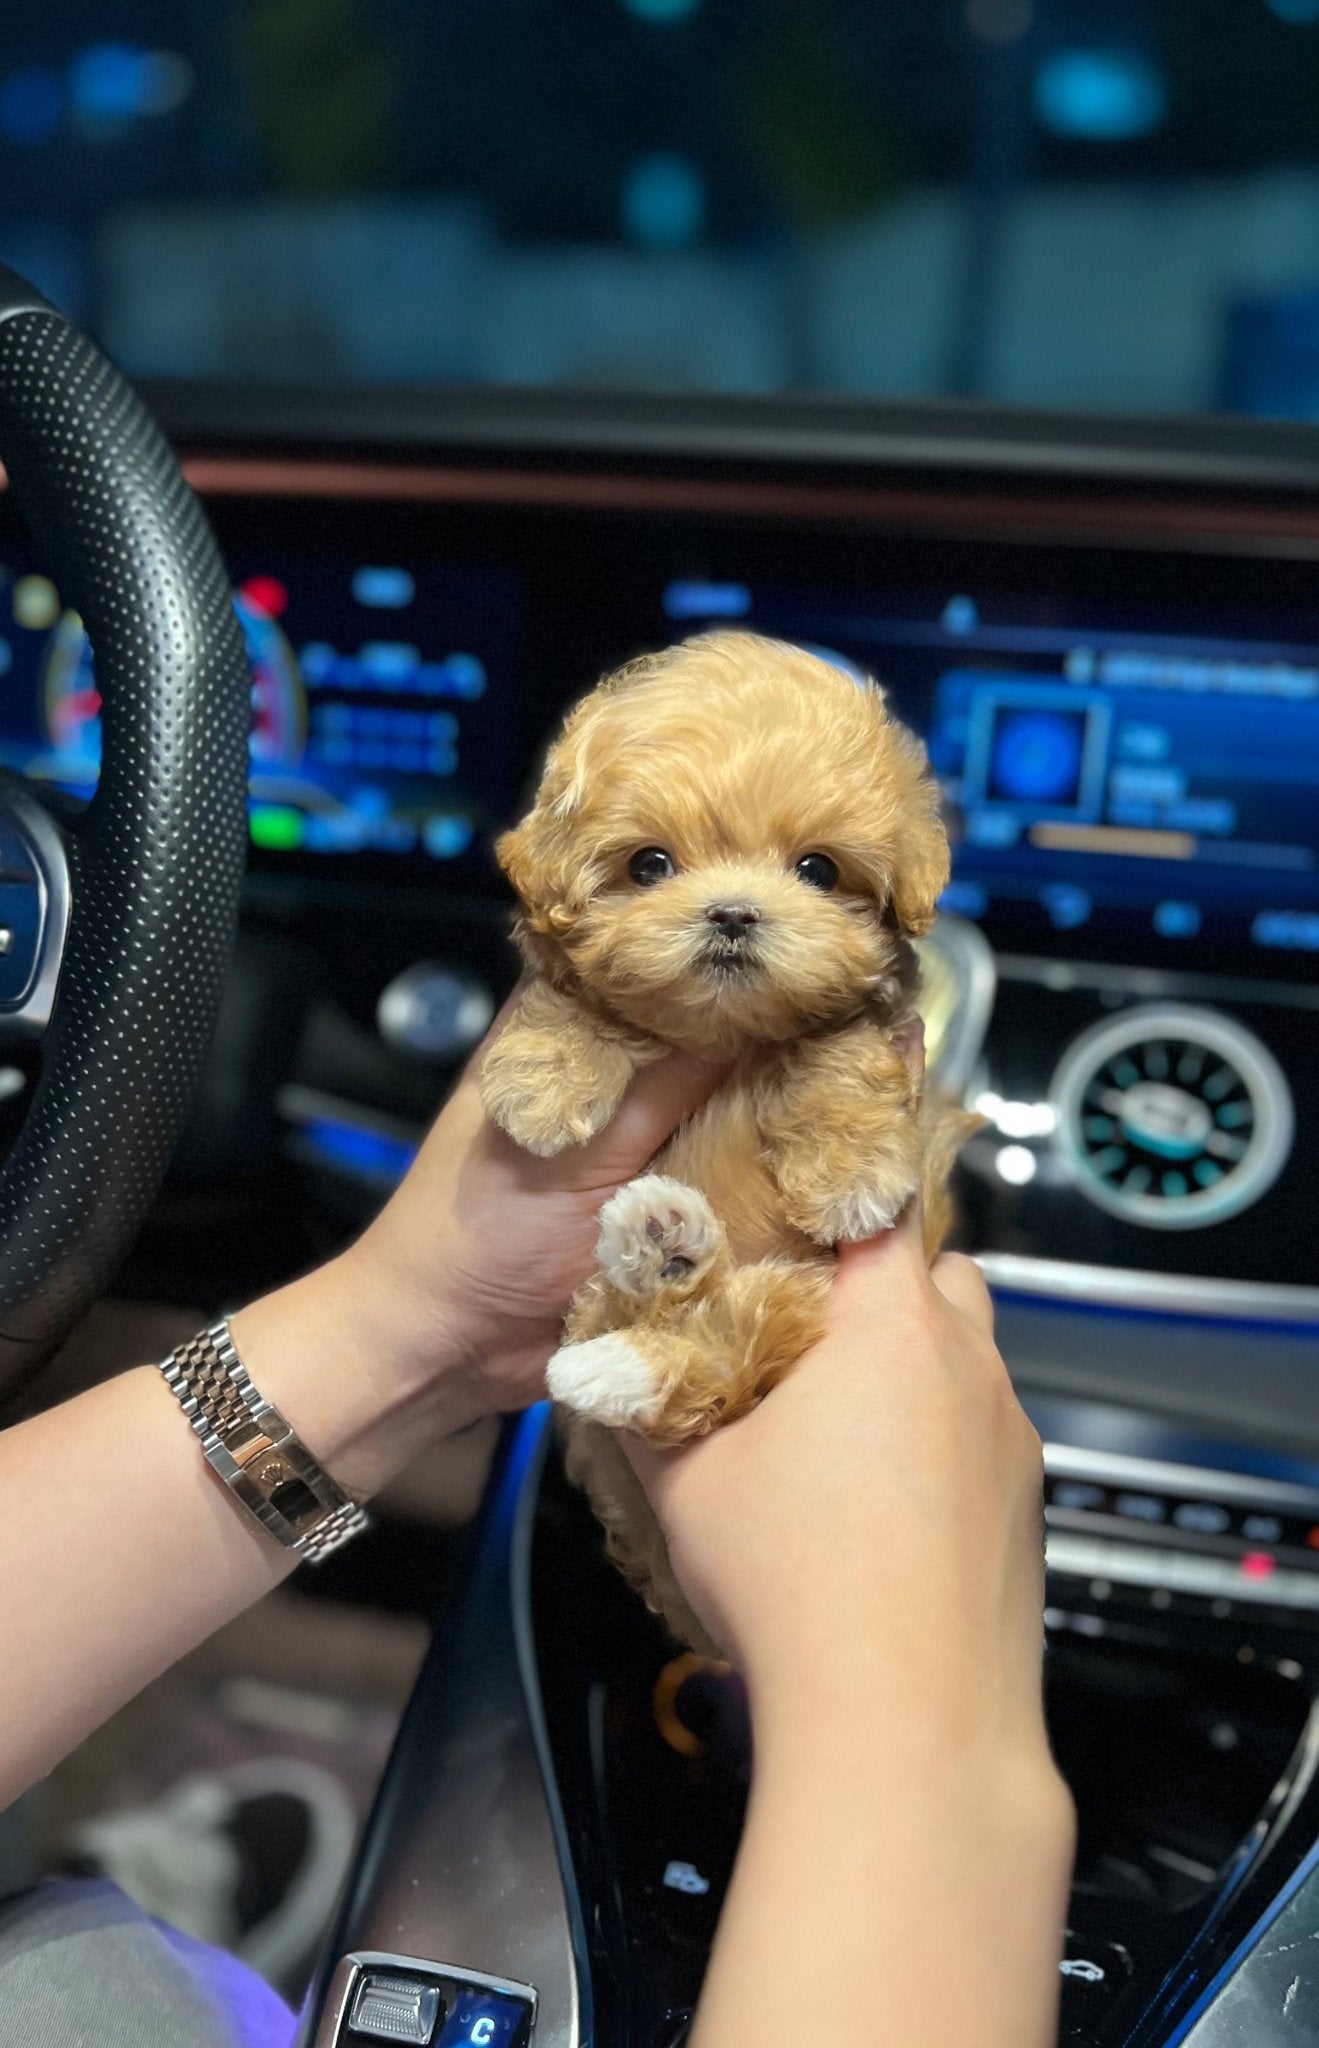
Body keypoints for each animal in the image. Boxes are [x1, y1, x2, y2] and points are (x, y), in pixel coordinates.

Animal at [481, 626, 966, 1646]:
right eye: (648, 867)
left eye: (817, 870)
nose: (734, 912)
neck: (727, 1031)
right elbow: (571, 995)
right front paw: (544, 1073)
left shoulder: (863, 1022)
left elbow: (834, 1054)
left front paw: (850, 1168)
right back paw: (658, 1248)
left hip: (792, 1305)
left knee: (718, 1353)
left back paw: (645, 1300)